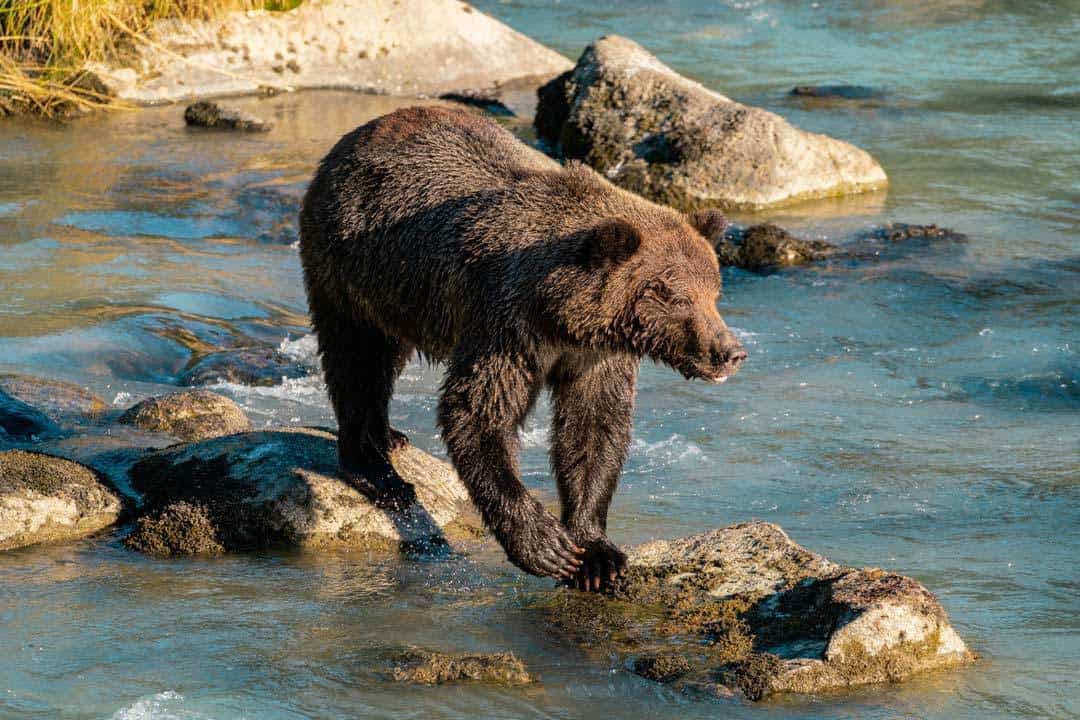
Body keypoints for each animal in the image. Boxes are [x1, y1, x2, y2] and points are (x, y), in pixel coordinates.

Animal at [299, 105, 746, 592]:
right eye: (677, 296)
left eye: (714, 292)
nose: (730, 351)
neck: (563, 313)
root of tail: (359, 133)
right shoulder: (507, 324)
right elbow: (477, 412)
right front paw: (547, 546)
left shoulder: (595, 356)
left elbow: (594, 427)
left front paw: (597, 553)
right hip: (347, 268)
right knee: (355, 361)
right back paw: (375, 470)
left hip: (394, 293)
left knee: (386, 358)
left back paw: (390, 437)